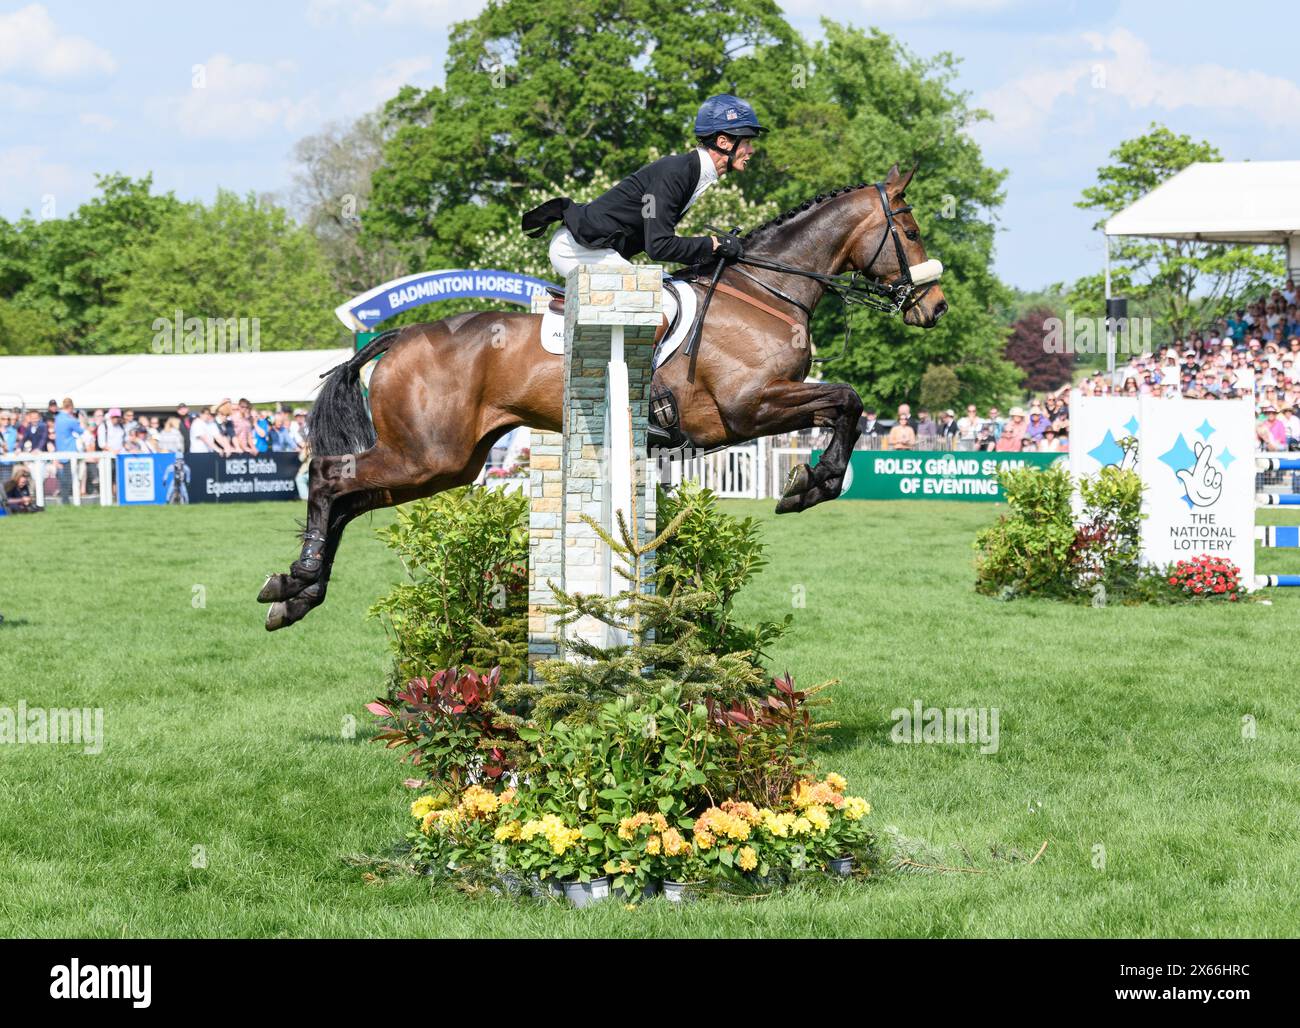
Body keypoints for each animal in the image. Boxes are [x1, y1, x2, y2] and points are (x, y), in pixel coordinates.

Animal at [259, 162, 948, 630]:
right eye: (910, 229)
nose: (935, 308)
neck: (764, 291)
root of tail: (400, 335)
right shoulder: (747, 407)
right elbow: (847, 400)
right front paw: (812, 483)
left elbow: (844, 404)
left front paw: (811, 483)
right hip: (427, 453)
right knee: (329, 478)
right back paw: (299, 579)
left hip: (447, 463)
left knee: (348, 498)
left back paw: (296, 592)